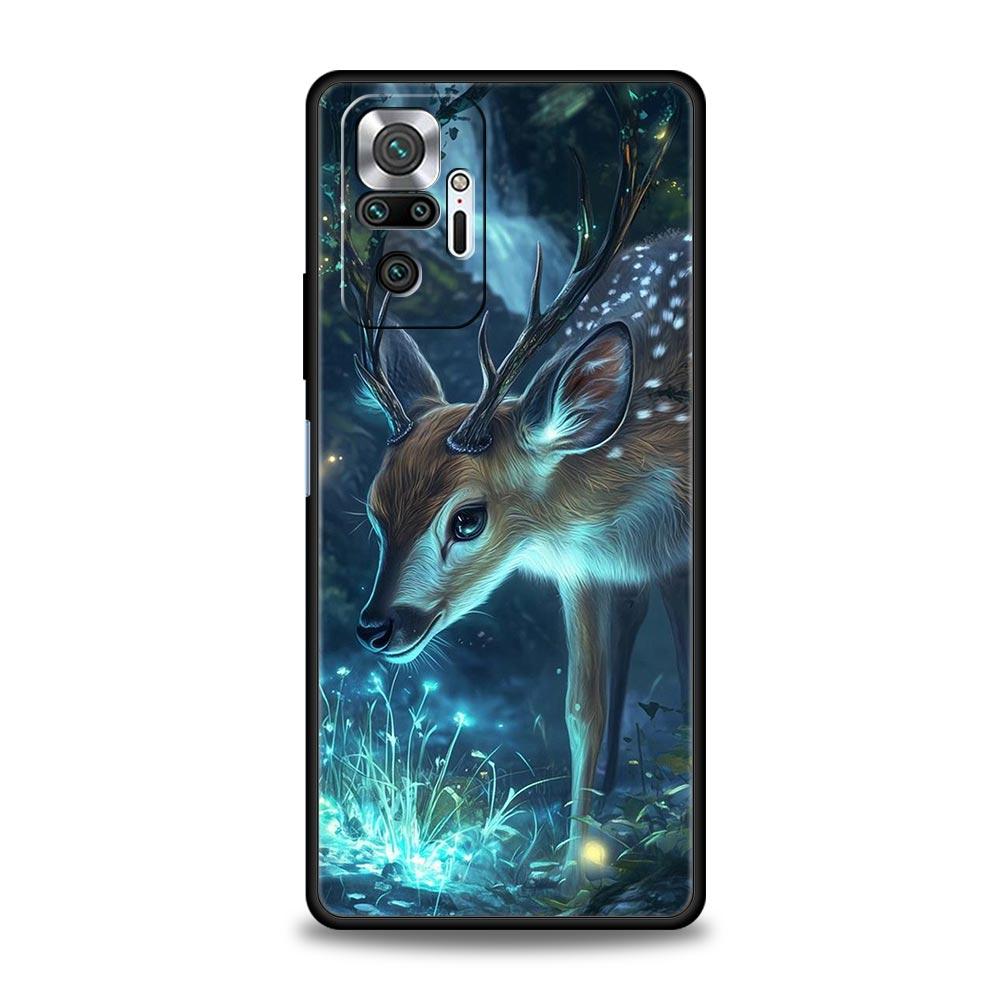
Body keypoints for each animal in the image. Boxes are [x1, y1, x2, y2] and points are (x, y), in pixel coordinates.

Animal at [349, 87, 692, 874]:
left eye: (467, 518)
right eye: (375, 512)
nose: (376, 626)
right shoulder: (586, 569)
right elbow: (580, 709)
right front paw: (573, 868)